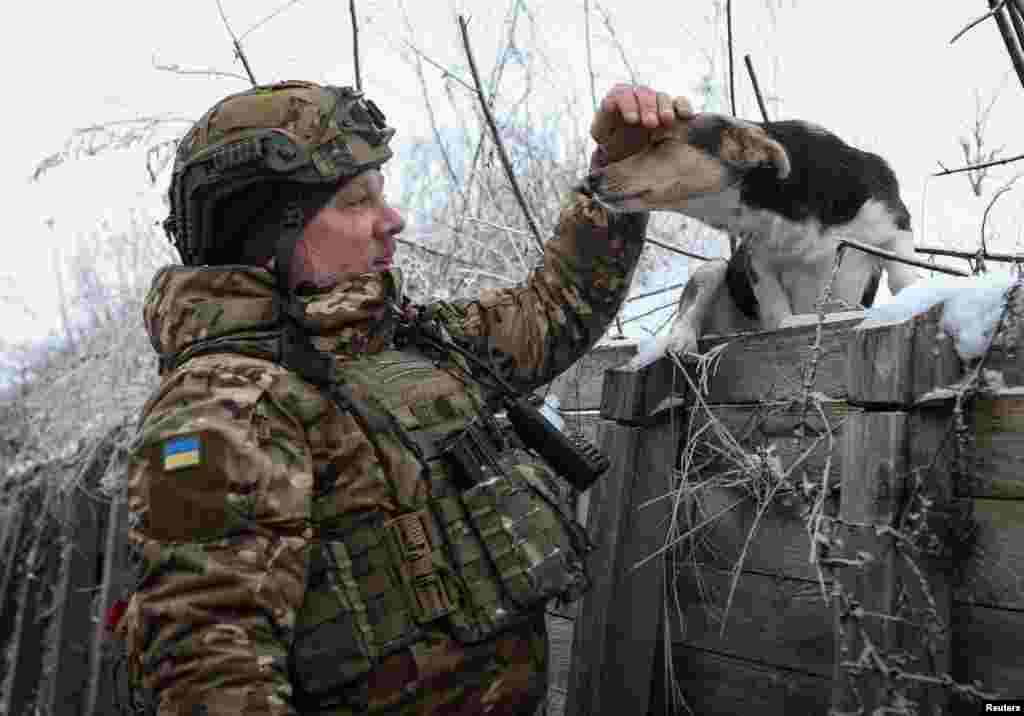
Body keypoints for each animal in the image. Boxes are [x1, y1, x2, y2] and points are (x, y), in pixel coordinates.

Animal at [585, 113, 921, 368]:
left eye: (661, 143)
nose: (590, 179)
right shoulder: (758, 262)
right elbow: (778, 312)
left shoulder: (895, 225)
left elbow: (903, 278)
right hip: (712, 269)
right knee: (687, 312)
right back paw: (682, 340)